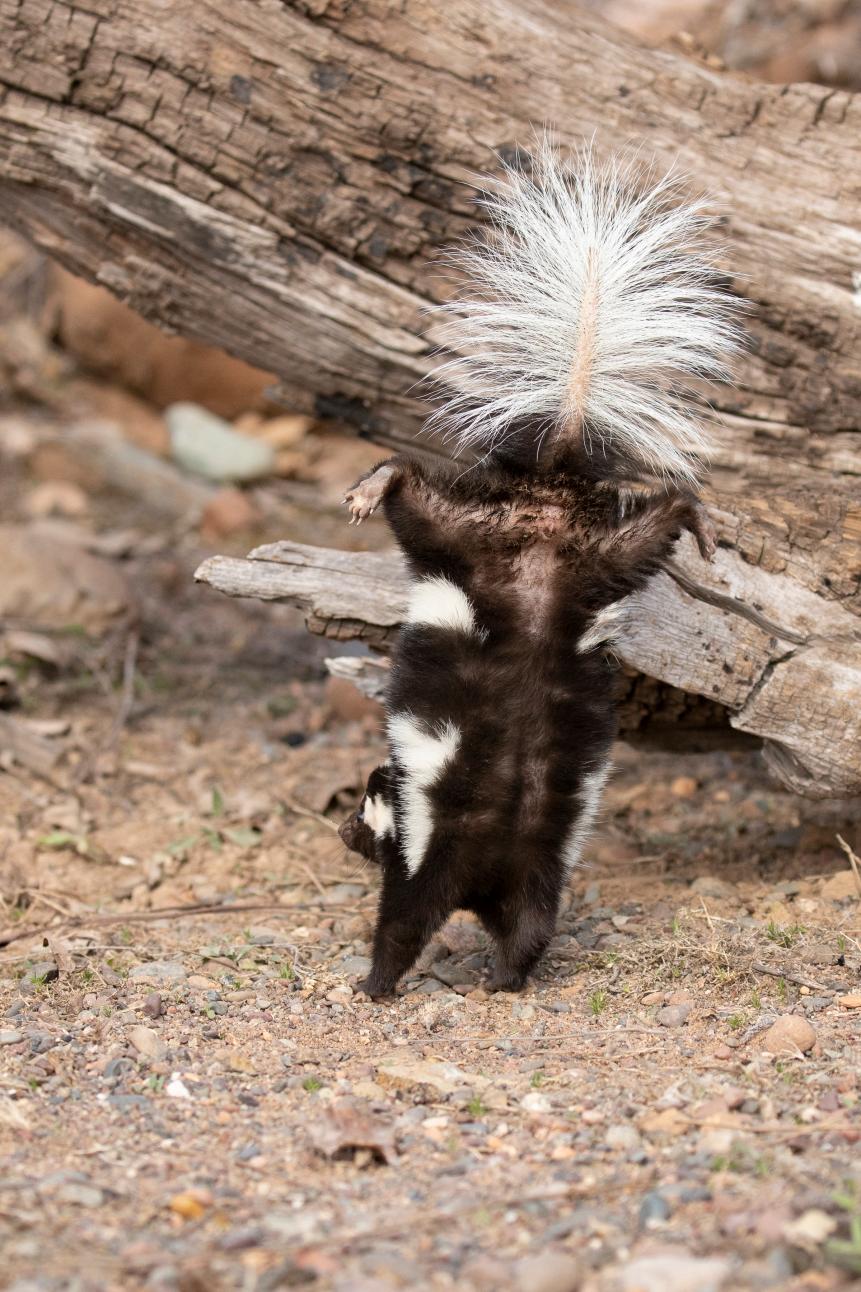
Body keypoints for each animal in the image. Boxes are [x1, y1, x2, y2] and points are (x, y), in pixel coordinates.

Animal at [338, 144, 739, 997]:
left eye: (361, 810)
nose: (341, 832)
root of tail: (549, 495)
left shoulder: (423, 854)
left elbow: (400, 922)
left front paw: (375, 983)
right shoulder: (534, 872)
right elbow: (528, 929)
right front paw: (504, 979)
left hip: (462, 538)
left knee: (413, 497)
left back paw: (374, 483)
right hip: (599, 565)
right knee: (651, 530)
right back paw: (697, 517)